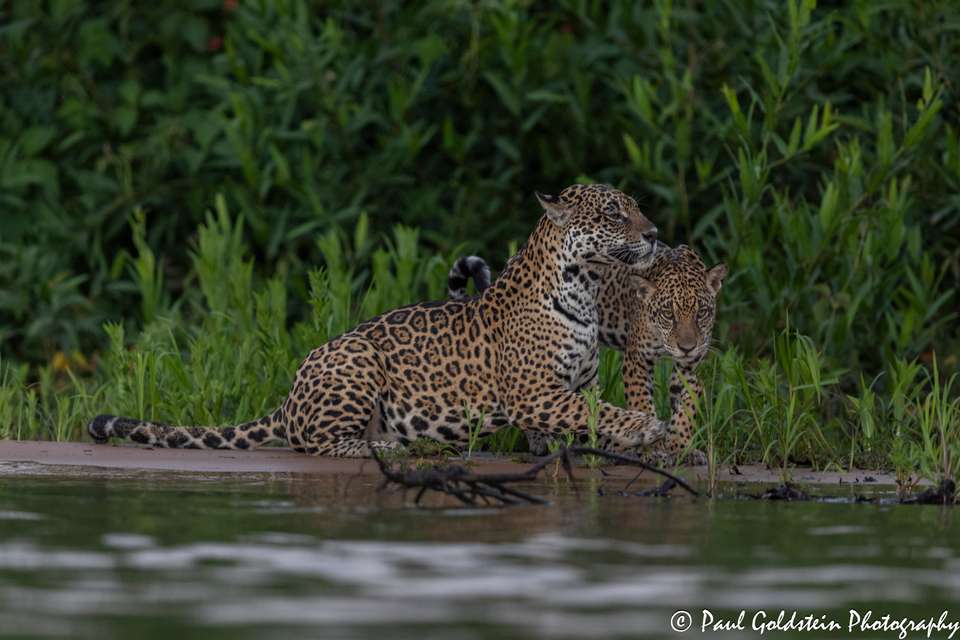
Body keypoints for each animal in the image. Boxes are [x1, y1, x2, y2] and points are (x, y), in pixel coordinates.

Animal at [88, 183, 666, 458]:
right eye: (614, 213)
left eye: (636, 208)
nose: (655, 233)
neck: (587, 288)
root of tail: (289, 398)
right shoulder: (534, 391)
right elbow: (603, 412)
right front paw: (645, 428)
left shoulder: (578, 383)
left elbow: (590, 413)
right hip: (356, 359)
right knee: (313, 443)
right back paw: (389, 445)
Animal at [448, 244, 726, 464]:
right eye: (668, 314)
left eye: (701, 312)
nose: (687, 347)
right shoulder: (637, 361)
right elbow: (643, 404)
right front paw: (653, 449)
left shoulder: (689, 368)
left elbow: (687, 406)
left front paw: (681, 448)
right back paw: (540, 441)